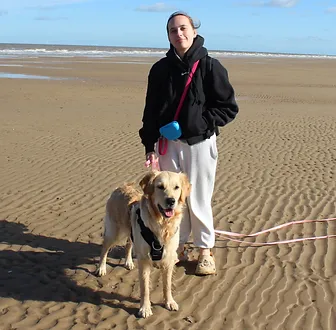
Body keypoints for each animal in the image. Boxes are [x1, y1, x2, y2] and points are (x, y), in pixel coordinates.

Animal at [96, 170, 190, 318]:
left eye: (177, 187)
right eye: (160, 187)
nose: (171, 201)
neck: (162, 225)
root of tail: (120, 187)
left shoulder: (168, 259)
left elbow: (167, 284)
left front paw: (169, 302)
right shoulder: (145, 260)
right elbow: (145, 287)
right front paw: (145, 308)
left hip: (130, 232)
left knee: (128, 245)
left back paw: (128, 262)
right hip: (114, 232)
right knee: (104, 248)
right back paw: (101, 268)